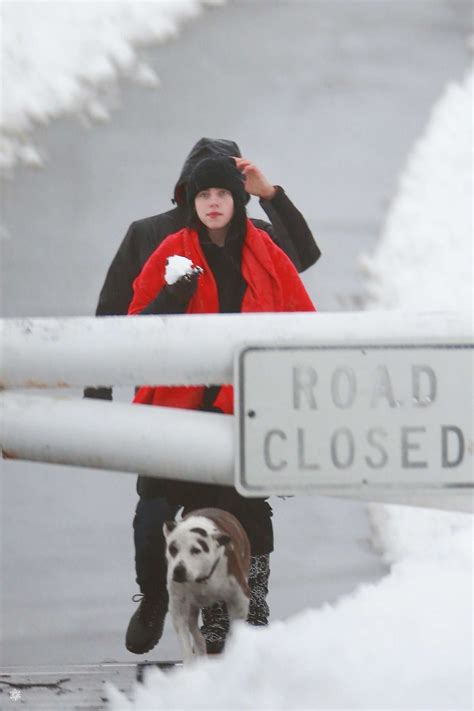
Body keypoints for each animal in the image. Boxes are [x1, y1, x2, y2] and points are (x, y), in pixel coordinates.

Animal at [164, 506, 252, 660]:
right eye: (173, 549)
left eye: (196, 550)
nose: (179, 570)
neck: (201, 579)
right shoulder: (178, 604)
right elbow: (183, 634)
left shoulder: (239, 598)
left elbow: (235, 628)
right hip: (191, 605)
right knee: (193, 627)